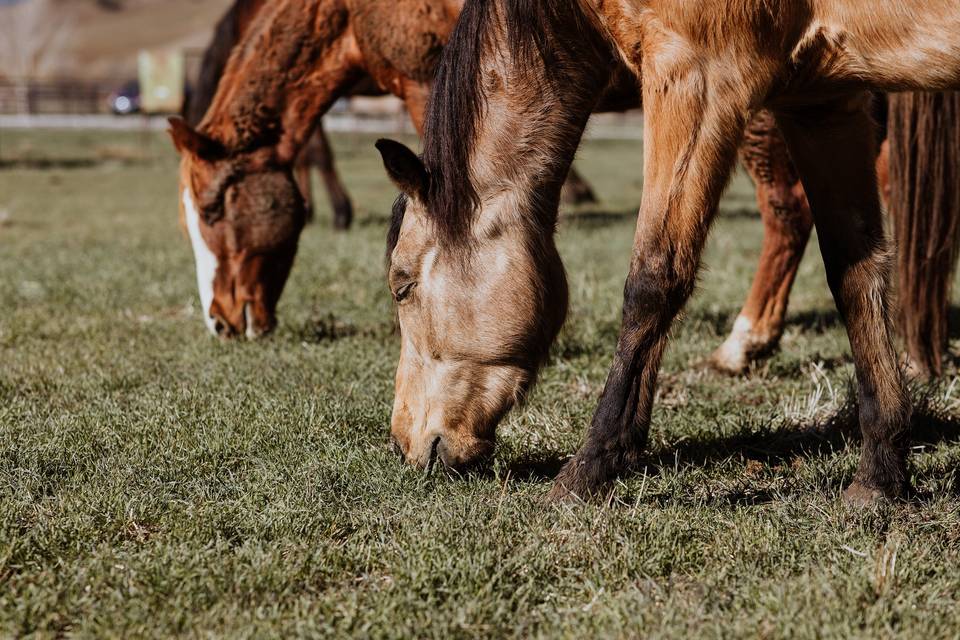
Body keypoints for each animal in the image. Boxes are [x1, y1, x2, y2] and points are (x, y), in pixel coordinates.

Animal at [378, 0, 960, 504]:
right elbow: (855, 272)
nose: (404, 442)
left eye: (402, 284)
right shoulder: (823, 102)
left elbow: (652, 279)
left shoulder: (697, 76)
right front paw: (880, 475)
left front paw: (591, 468)